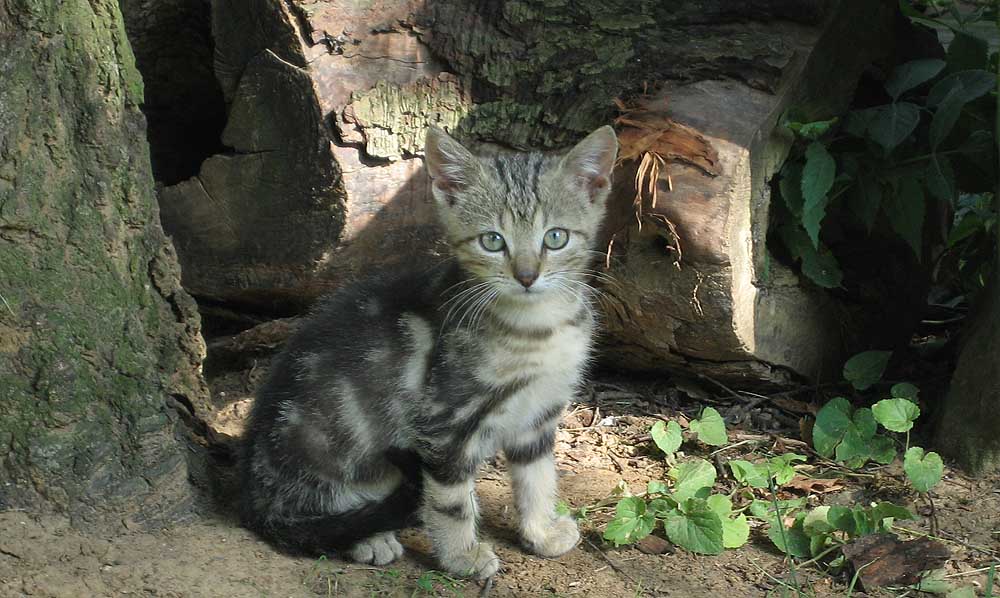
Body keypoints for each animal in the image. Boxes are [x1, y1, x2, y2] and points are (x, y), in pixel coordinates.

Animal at [242, 125, 616, 580]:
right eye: (492, 241)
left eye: (556, 237)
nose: (527, 276)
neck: (538, 327)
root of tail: (254, 494)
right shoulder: (445, 420)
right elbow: (450, 501)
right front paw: (462, 558)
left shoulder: (539, 414)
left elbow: (538, 478)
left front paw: (540, 534)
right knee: (312, 517)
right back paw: (369, 538)